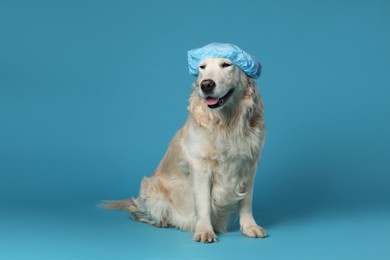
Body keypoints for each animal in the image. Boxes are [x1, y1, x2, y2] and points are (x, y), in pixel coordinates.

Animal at [102, 55, 266, 243]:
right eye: (202, 67)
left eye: (226, 64)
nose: (206, 84)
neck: (226, 123)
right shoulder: (201, 167)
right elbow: (203, 203)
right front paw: (205, 231)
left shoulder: (249, 165)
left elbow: (246, 201)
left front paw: (250, 226)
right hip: (152, 190)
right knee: (137, 211)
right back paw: (161, 221)